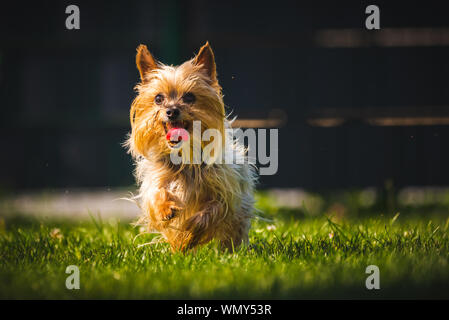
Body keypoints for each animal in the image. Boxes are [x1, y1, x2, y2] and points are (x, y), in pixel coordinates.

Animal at [125, 42, 256, 250]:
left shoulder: (224, 196)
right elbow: (157, 194)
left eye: (189, 97)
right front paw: (165, 209)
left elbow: (211, 212)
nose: (171, 111)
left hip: (239, 216)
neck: (185, 155)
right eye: (158, 98)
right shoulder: (157, 179)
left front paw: (189, 229)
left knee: (232, 234)